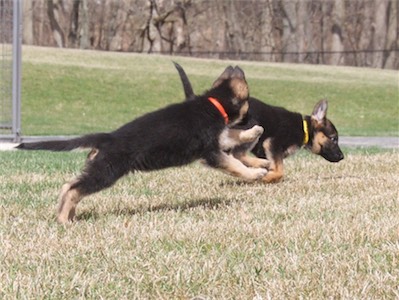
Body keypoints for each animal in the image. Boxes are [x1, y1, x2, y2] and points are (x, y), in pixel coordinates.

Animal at [17, 65, 268, 223]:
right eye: (247, 94)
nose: (237, 67)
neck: (214, 103)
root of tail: (107, 137)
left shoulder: (217, 139)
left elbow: (232, 134)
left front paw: (254, 132)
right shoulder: (211, 151)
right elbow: (235, 164)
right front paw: (255, 173)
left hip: (98, 168)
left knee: (68, 186)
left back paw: (66, 213)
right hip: (107, 172)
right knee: (73, 189)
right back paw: (62, 220)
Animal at [173, 63, 346, 183]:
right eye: (333, 138)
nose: (342, 156)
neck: (304, 129)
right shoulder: (273, 143)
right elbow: (280, 172)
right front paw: (267, 177)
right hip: (252, 125)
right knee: (237, 154)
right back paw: (262, 166)